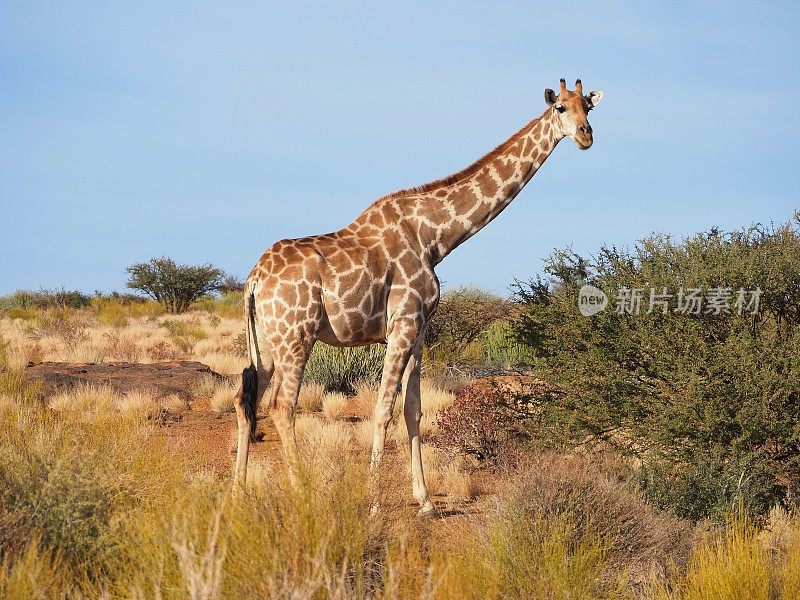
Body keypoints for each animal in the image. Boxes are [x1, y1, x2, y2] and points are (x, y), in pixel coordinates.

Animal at [234, 77, 604, 512]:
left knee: (246, 400)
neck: (435, 238)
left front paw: (424, 500)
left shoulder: (421, 329)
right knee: (281, 405)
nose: (586, 136)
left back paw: (238, 491)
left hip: (265, 341)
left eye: (588, 108)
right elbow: (383, 409)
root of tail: (254, 280)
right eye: (561, 107)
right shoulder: (403, 325)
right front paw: (375, 500)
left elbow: (414, 409)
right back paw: (301, 492)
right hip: (297, 335)